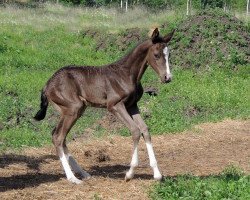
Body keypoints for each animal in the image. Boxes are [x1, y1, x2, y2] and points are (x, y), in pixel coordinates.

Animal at [34, 27, 175, 183]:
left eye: (169, 55)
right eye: (156, 55)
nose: (167, 78)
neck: (127, 74)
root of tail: (47, 85)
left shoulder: (132, 105)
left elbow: (145, 129)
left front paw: (157, 174)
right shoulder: (115, 105)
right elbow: (135, 130)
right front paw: (130, 173)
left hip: (72, 110)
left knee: (59, 135)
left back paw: (83, 173)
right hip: (73, 108)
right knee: (58, 136)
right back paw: (72, 178)